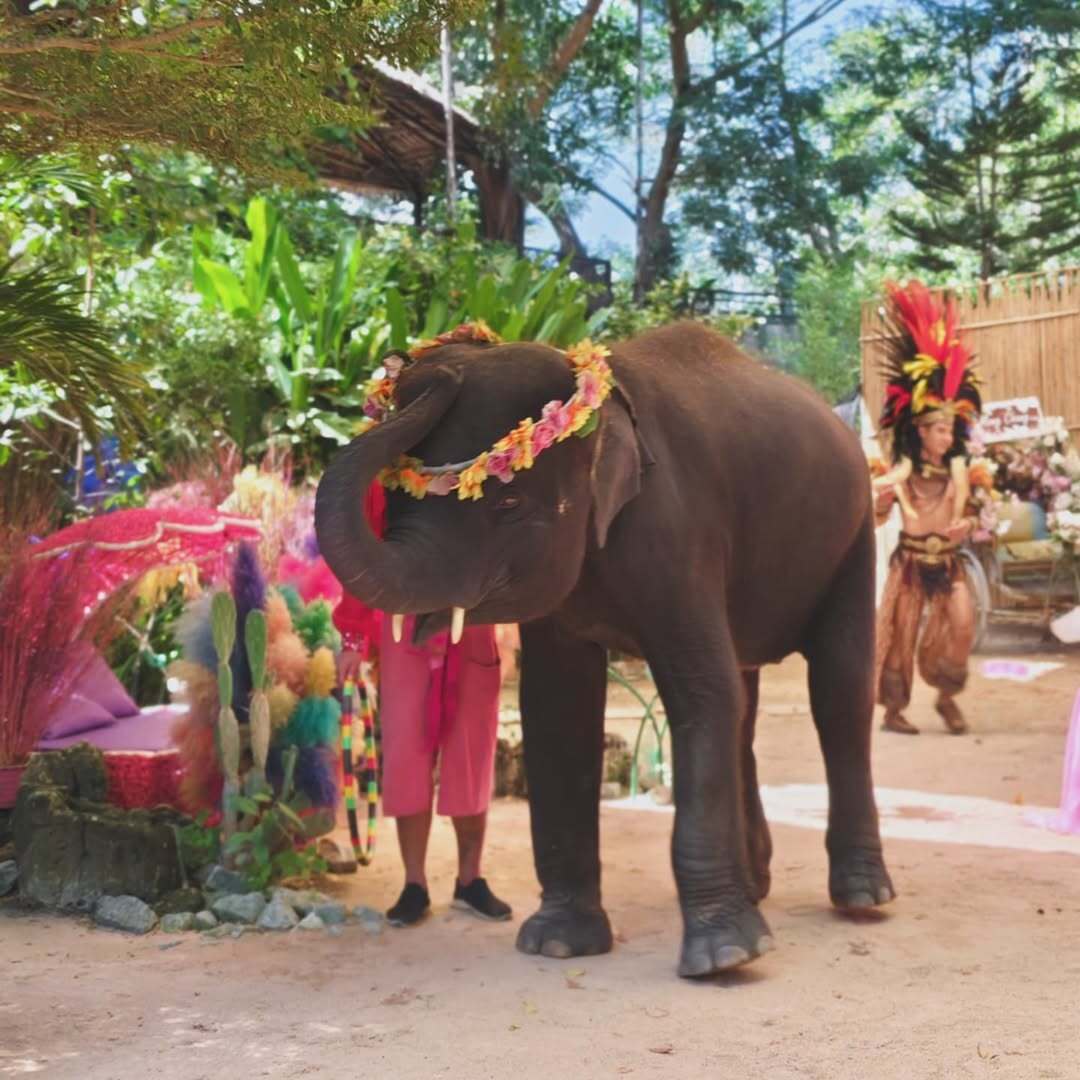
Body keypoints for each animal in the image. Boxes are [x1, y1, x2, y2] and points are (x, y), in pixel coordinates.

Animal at [315, 322, 894, 978]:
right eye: (395, 500)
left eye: (508, 505)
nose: (431, 365)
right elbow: (559, 707)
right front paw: (560, 943)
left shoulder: (679, 532)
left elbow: (702, 693)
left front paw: (724, 958)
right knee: (745, 704)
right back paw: (758, 885)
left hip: (855, 534)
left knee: (839, 692)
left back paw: (862, 898)